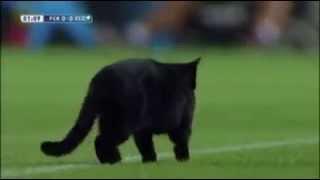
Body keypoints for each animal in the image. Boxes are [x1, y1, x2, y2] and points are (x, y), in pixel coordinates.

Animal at [40, 57, 200, 164]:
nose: (194, 85)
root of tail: (101, 78)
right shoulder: (183, 123)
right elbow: (181, 141)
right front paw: (184, 159)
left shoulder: (142, 130)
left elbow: (146, 146)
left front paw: (149, 161)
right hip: (122, 123)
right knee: (101, 140)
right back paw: (114, 161)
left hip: (107, 118)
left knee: (101, 139)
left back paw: (110, 160)